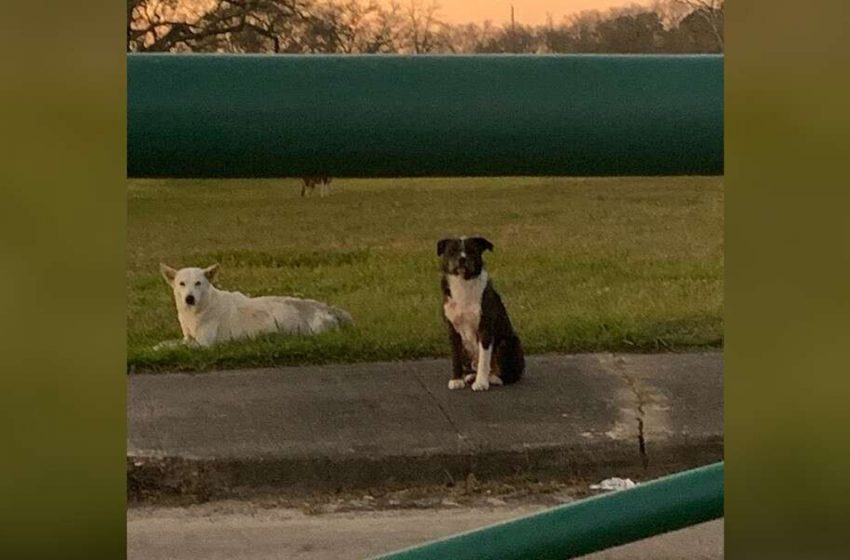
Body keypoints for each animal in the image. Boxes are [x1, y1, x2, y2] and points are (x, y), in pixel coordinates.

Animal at [155, 264, 352, 350]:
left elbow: (176, 345)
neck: (199, 309)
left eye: (198, 283)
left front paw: (158, 348)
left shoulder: (203, 343)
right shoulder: (188, 336)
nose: (189, 298)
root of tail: (328, 308)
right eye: (181, 284)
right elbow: (171, 342)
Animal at [438, 235, 524, 390]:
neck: (464, 282)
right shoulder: (452, 329)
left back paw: (494, 379)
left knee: (510, 374)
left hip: (507, 344)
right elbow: (455, 357)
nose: (462, 259)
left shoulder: (485, 328)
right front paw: (456, 379)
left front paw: (481, 383)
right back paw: (471, 376)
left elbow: (484, 360)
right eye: (452, 251)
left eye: (471, 251)